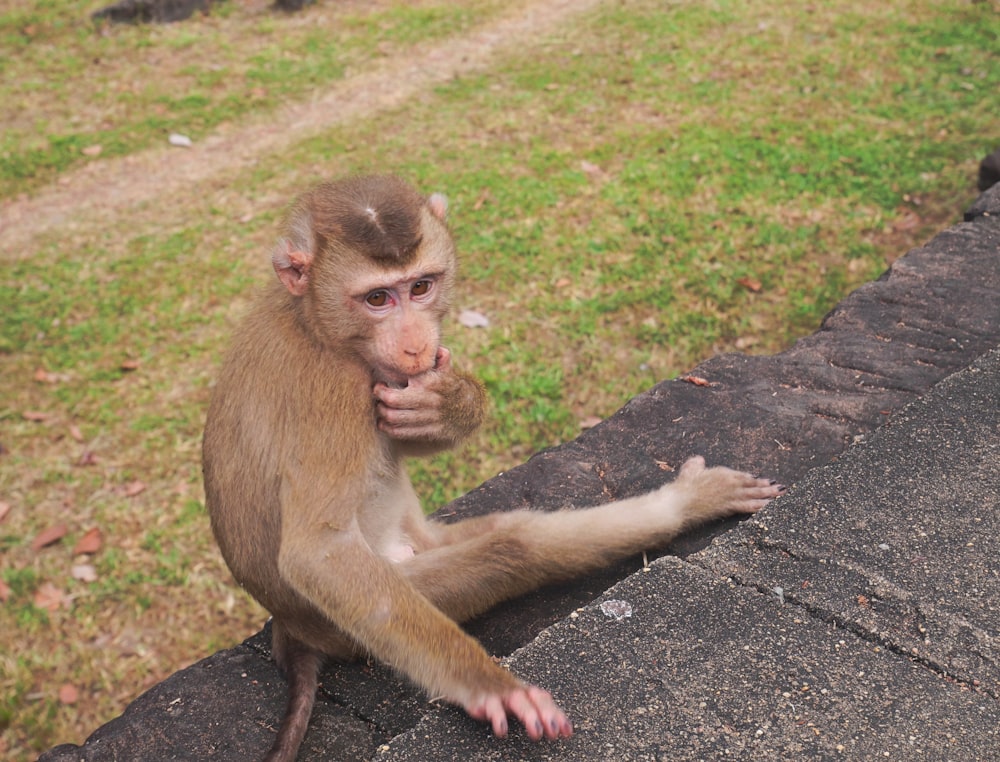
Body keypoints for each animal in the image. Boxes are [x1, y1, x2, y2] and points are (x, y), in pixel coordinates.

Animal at [201, 175, 780, 756]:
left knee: (510, 528)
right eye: (377, 298)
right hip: (361, 614)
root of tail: (290, 626)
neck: (313, 321)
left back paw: (689, 501)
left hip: (423, 541)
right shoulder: (330, 388)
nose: (416, 346)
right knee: (512, 550)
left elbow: (405, 434)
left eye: (420, 287)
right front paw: (489, 688)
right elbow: (320, 552)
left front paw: (451, 402)